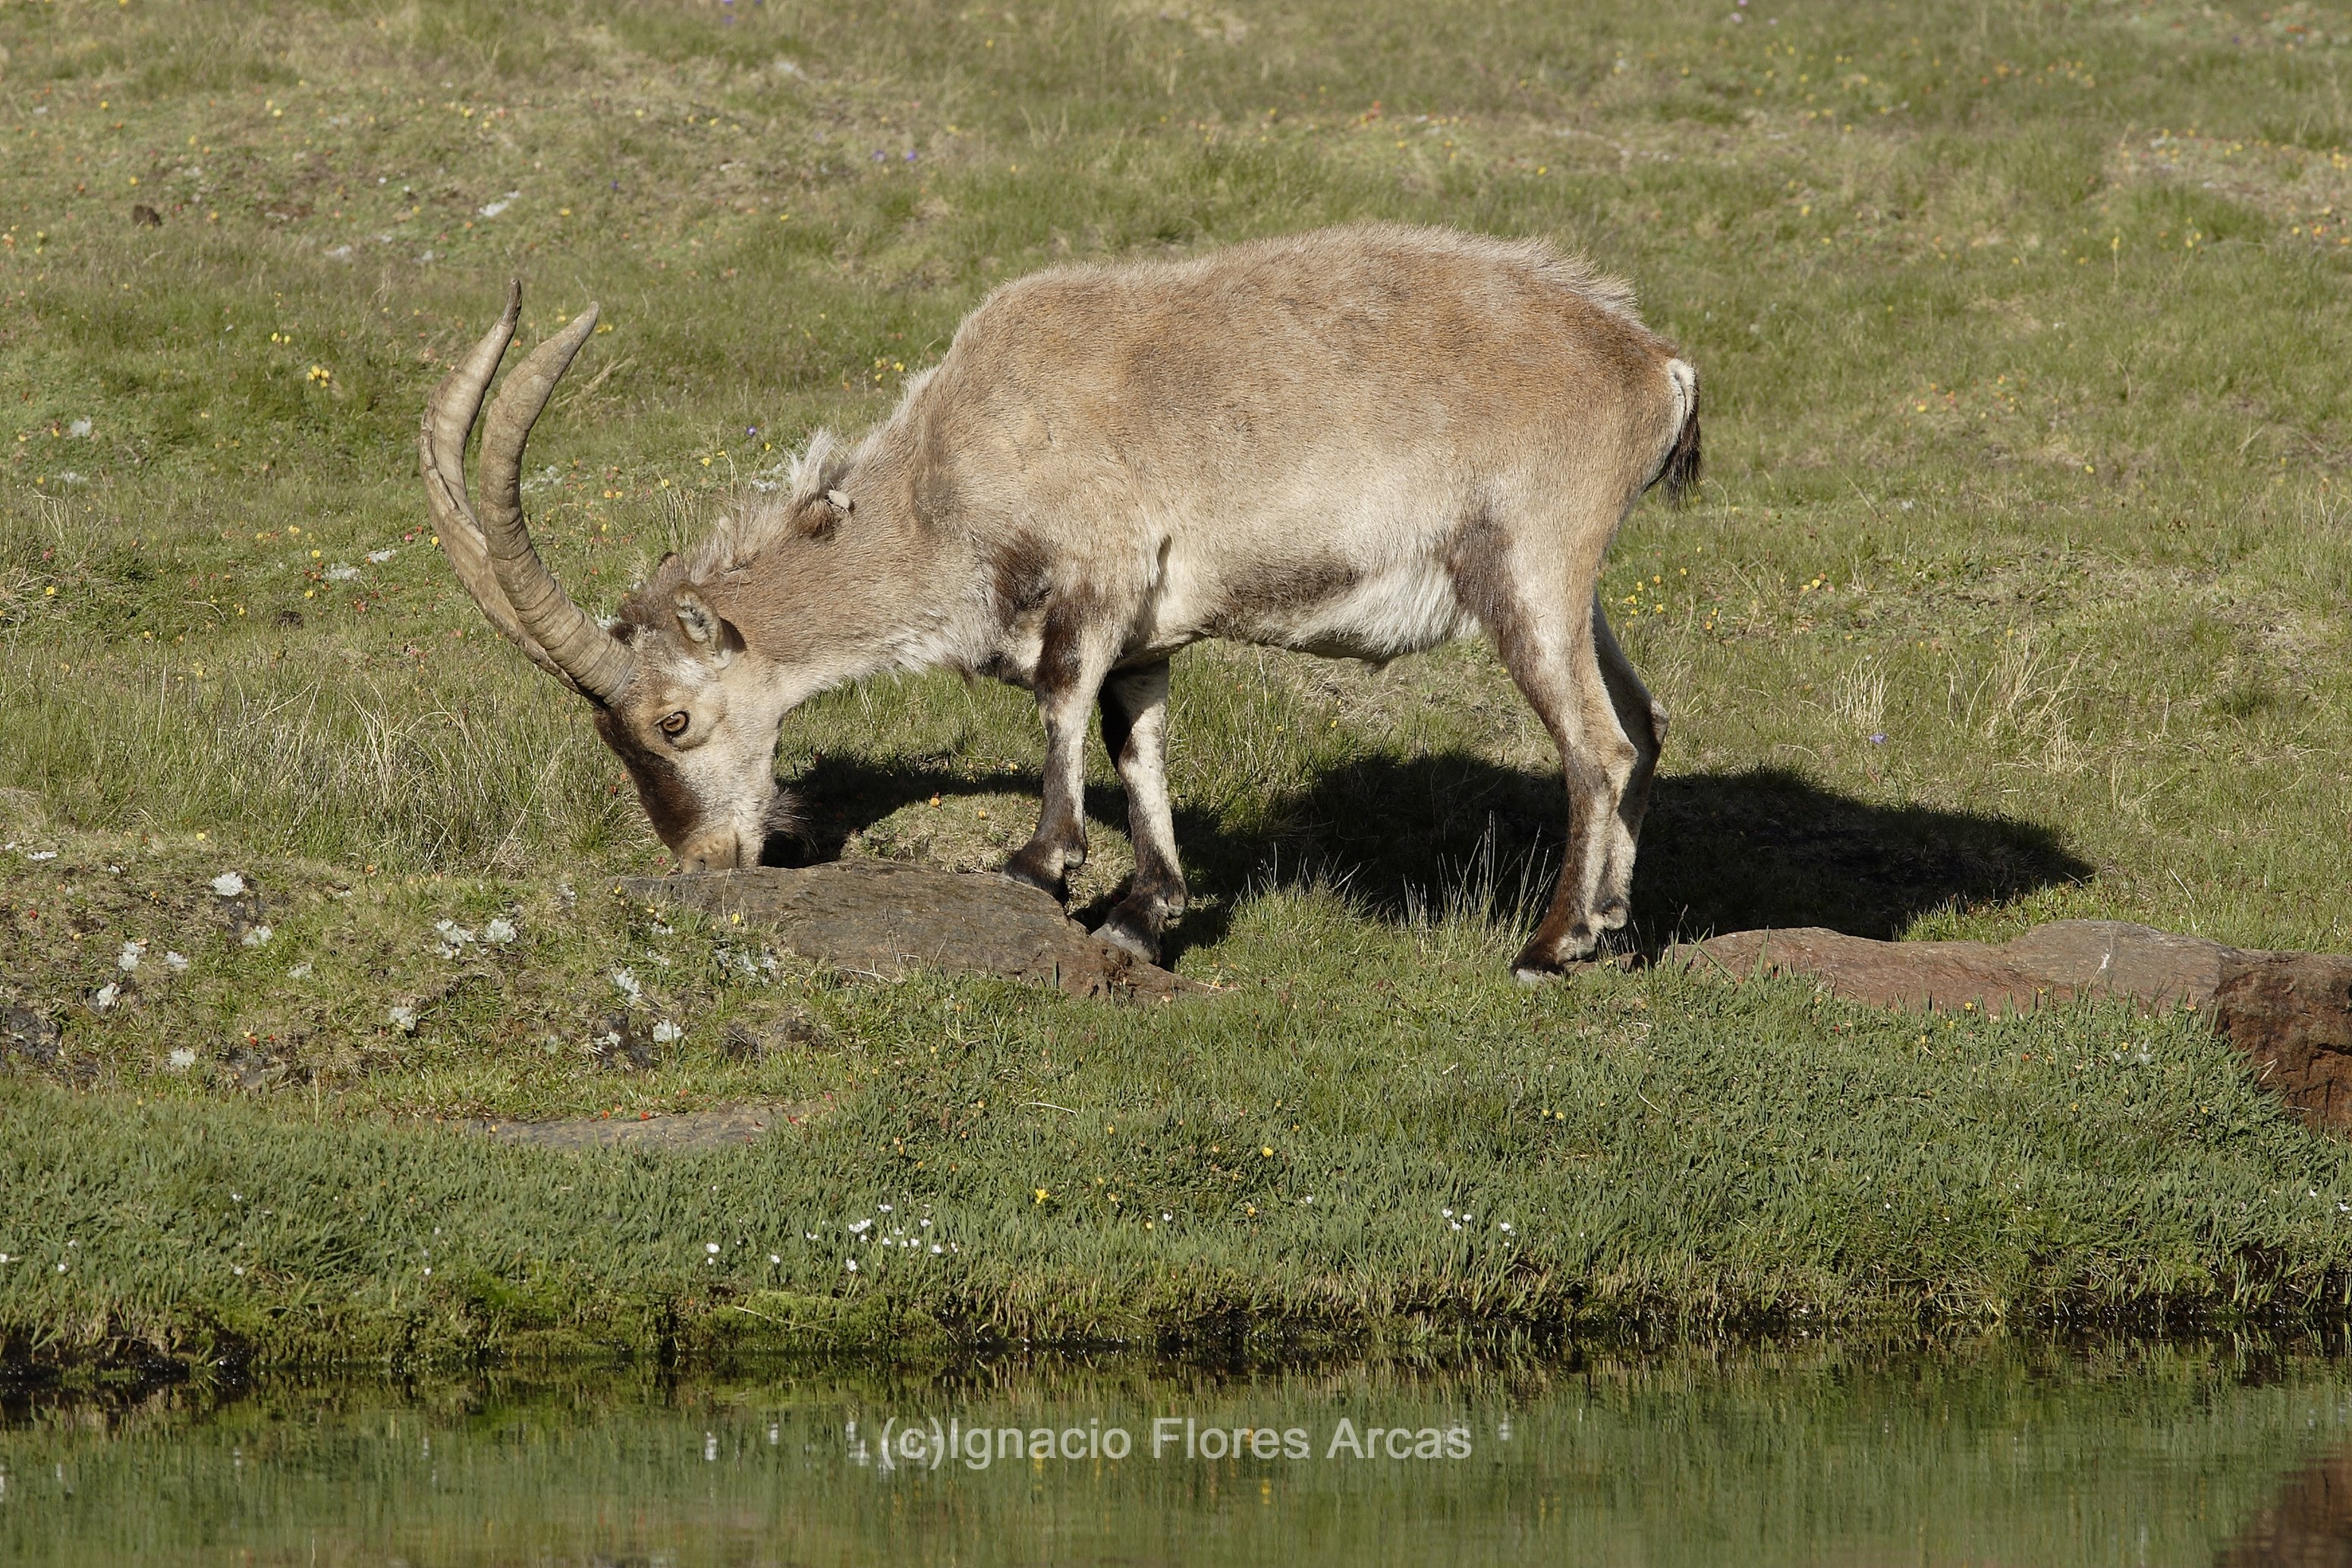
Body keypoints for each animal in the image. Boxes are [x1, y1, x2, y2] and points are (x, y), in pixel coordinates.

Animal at [422, 223, 1700, 978]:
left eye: (673, 720)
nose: (706, 860)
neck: (951, 464)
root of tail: (1653, 363)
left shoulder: (1092, 578)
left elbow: (1058, 703)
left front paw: (1040, 865)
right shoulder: (1148, 634)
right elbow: (1139, 740)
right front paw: (1147, 909)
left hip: (1525, 564)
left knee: (1592, 743)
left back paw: (1549, 942)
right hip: (1574, 584)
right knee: (1642, 725)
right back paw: (1616, 929)